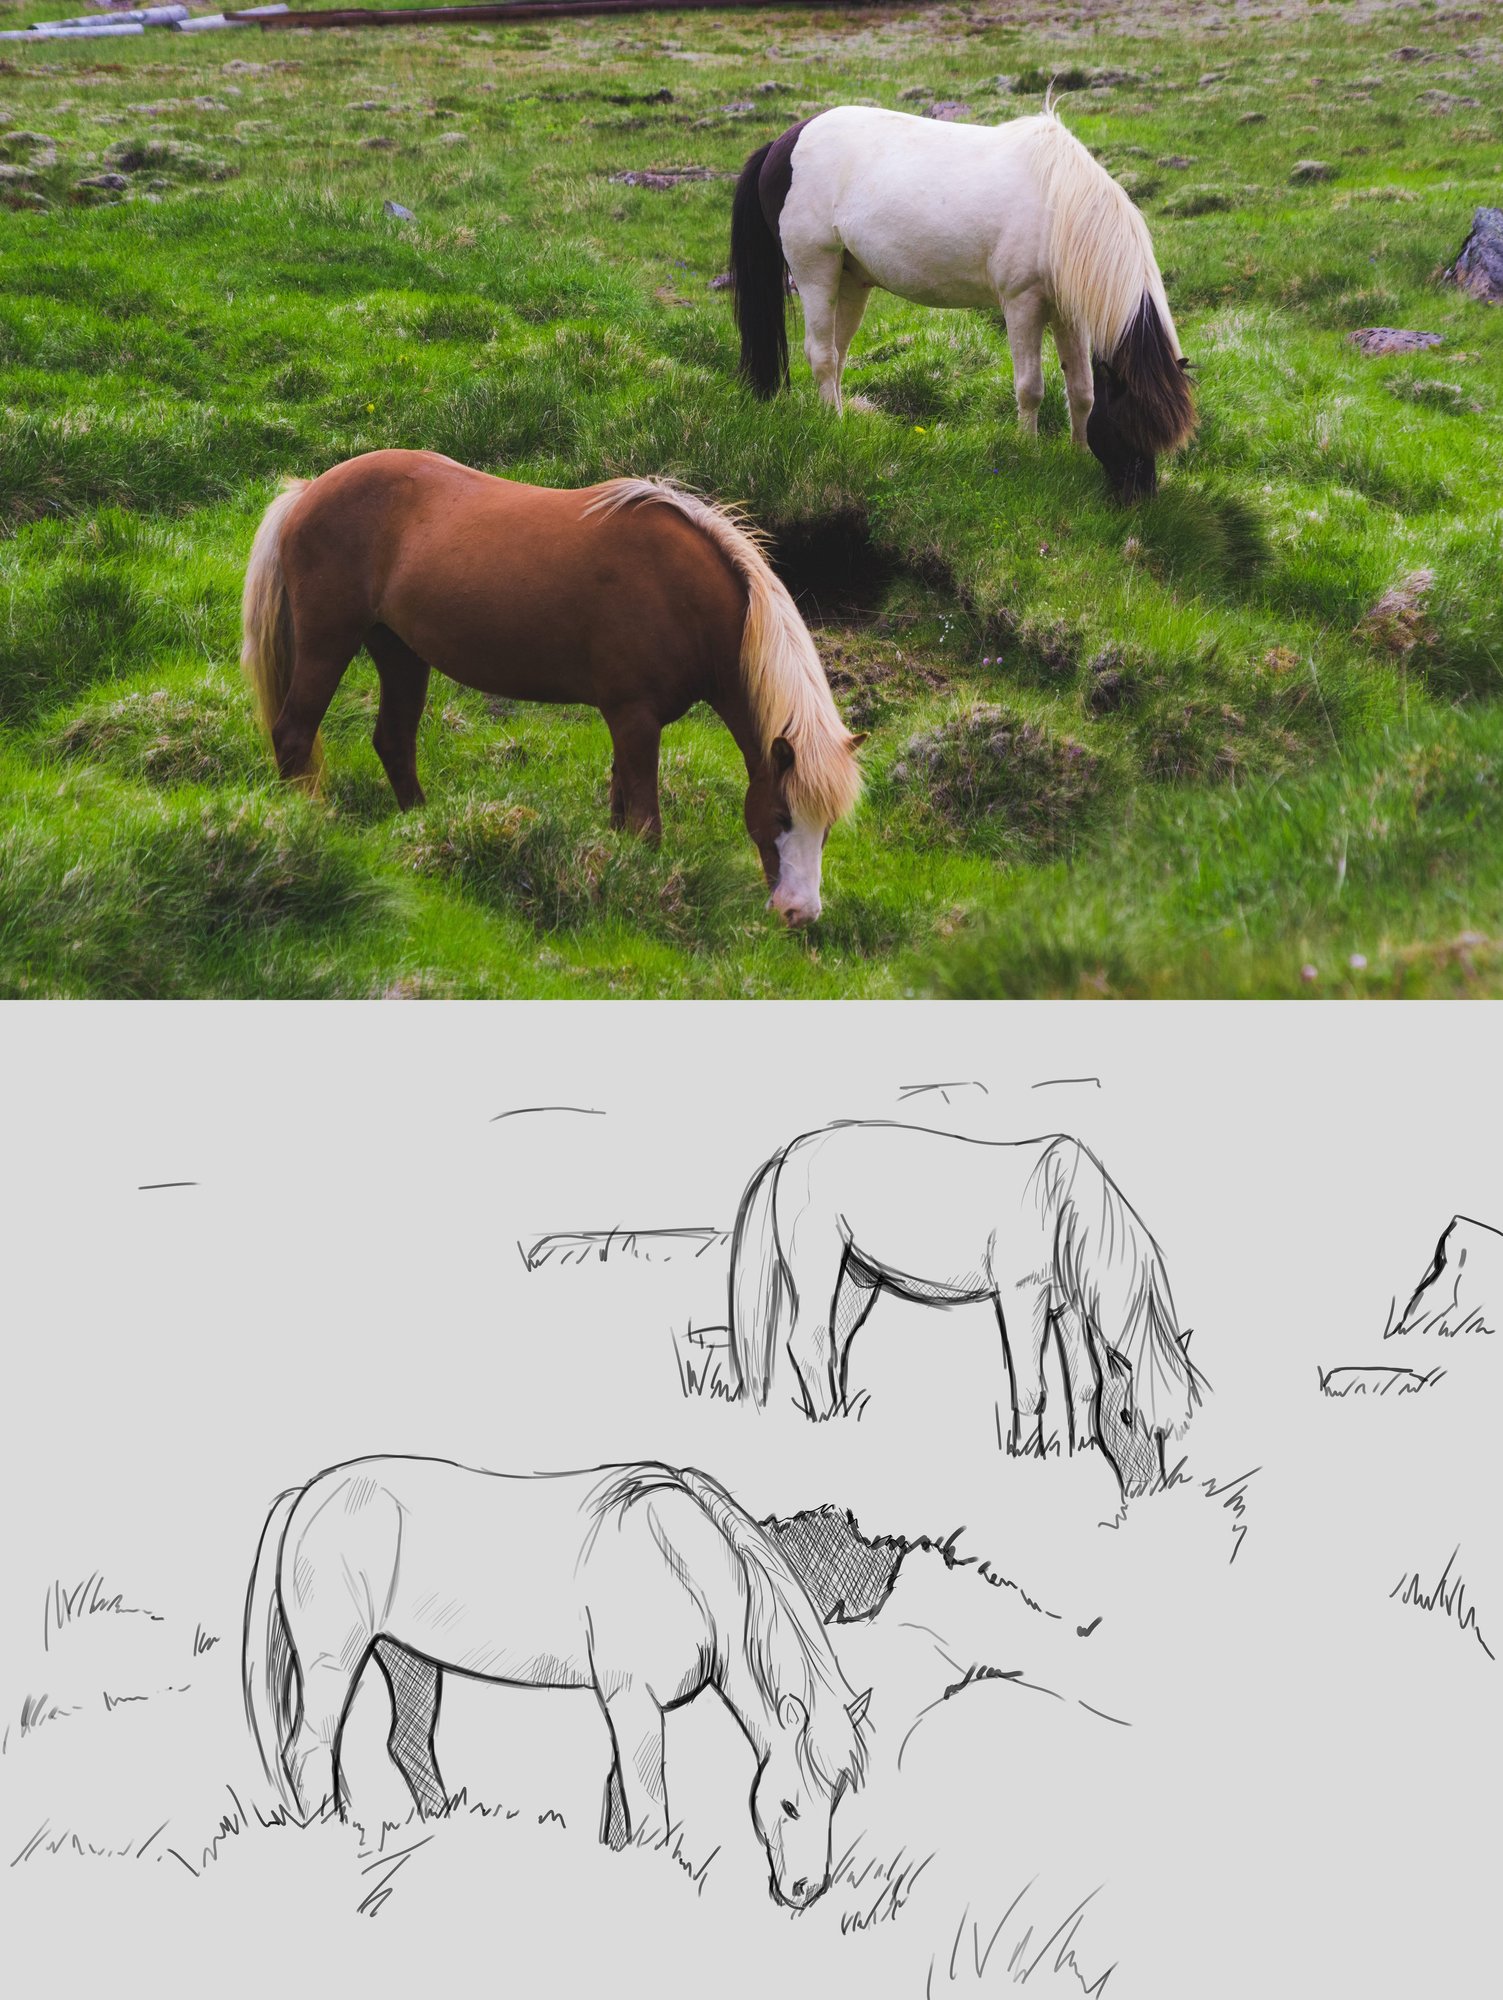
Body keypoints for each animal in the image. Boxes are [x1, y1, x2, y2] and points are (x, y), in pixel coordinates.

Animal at [240, 452, 864, 926]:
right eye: (781, 816)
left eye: (828, 826)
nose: (800, 914)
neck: (682, 593)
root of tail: (308, 491)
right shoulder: (635, 718)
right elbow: (645, 823)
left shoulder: (627, 723)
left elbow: (621, 808)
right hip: (328, 641)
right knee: (294, 733)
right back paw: (309, 826)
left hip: (400, 653)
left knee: (393, 741)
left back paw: (422, 825)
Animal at [242, 1454, 871, 1907]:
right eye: (788, 1805)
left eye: (837, 1799)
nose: (805, 1893)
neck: (682, 1566)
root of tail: (308, 1493)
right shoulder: (635, 1704)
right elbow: (649, 1805)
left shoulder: (626, 1708)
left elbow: (619, 1797)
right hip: (333, 1662)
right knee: (310, 1750)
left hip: (407, 1657)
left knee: (408, 1744)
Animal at [726, 1122, 1205, 1497]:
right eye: (1127, 1416)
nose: (1146, 1490)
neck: (1058, 1203)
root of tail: (792, 1151)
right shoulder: (1022, 1297)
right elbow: (1030, 1387)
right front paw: (1027, 1456)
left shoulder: (1066, 1308)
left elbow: (1084, 1384)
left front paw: (1080, 1453)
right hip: (820, 1267)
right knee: (808, 1344)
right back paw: (824, 1424)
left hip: (859, 1277)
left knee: (836, 1343)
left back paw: (841, 1420)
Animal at [730, 102, 1195, 502]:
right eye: (1128, 424)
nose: (1140, 499)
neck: (1060, 207)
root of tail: (782, 143)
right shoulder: (1022, 303)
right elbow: (1031, 388)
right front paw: (1029, 453)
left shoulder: (1069, 315)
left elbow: (1081, 390)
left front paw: (1078, 454)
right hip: (816, 270)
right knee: (822, 355)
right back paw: (835, 424)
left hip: (850, 281)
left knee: (836, 354)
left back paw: (837, 420)